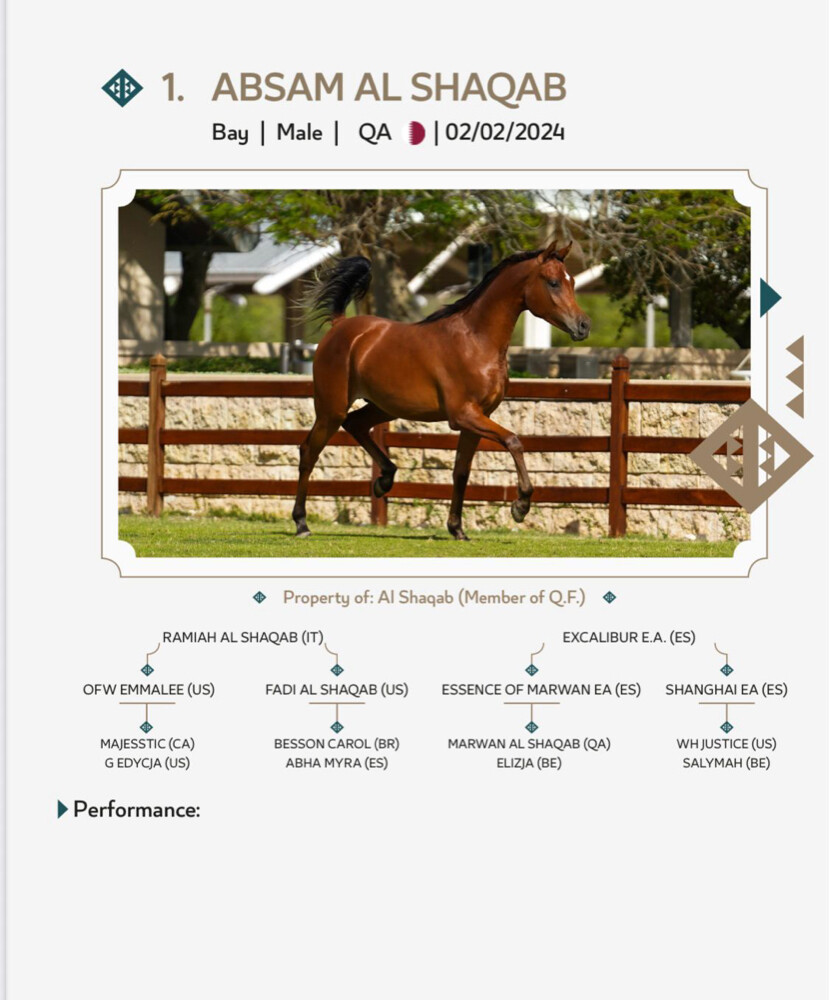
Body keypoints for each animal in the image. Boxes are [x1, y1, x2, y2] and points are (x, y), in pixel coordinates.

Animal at [292, 241, 591, 540]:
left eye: (573, 281)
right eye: (553, 282)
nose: (583, 326)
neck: (476, 340)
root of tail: (340, 325)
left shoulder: (476, 420)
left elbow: (461, 472)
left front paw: (457, 528)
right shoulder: (463, 416)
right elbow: (514, 441)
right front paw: (520, 507)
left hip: (383, 407)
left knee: (355, 424)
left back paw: (384, 480)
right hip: (331, 409)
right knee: (309, 452)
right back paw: (301, 523)